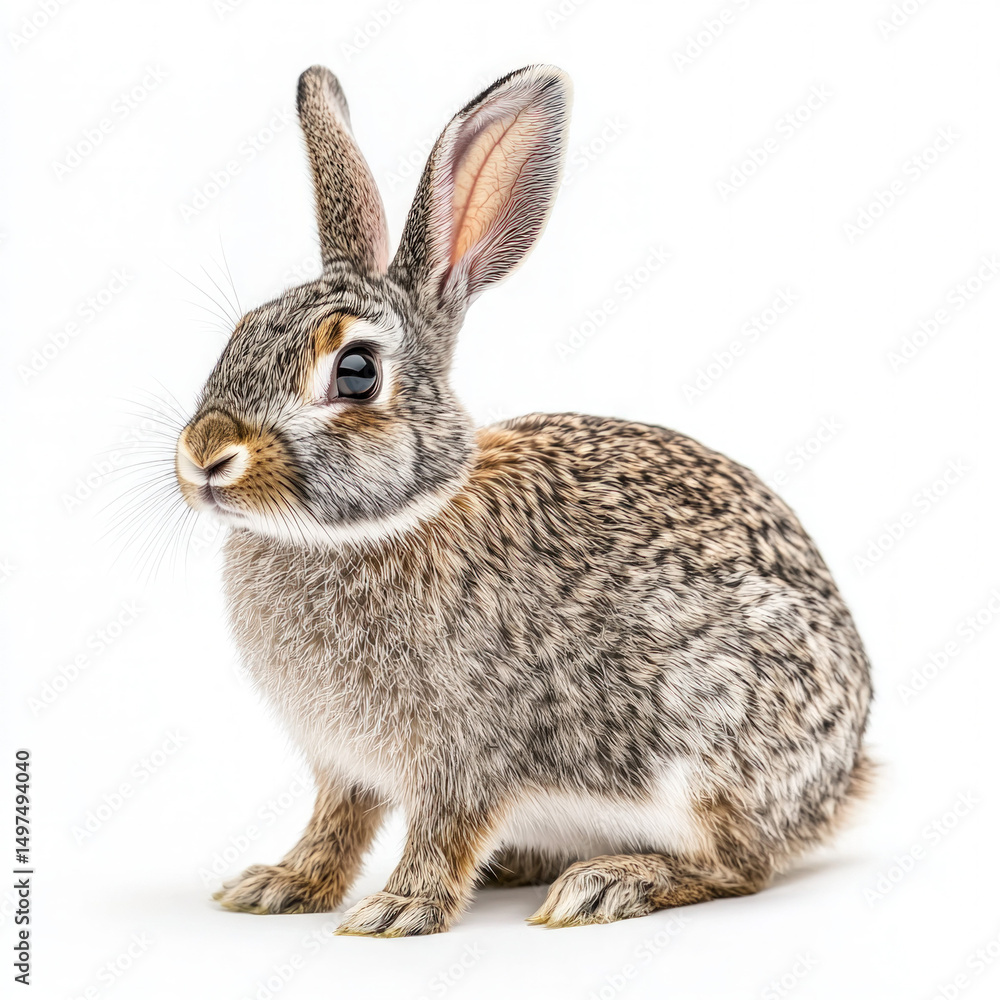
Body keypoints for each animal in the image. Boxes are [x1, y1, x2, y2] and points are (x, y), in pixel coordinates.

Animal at [174, 64, 873, 936]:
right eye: (239, 331)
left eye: (357, 372)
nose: (204, 456)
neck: (381, 522)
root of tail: (843, 779)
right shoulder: (345, 765)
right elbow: (337, 823)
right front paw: (280, 884)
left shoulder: (469, 752)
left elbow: (442, 831)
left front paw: (397, 910)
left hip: (712, 751)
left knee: (740, 864)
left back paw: (607, 884)